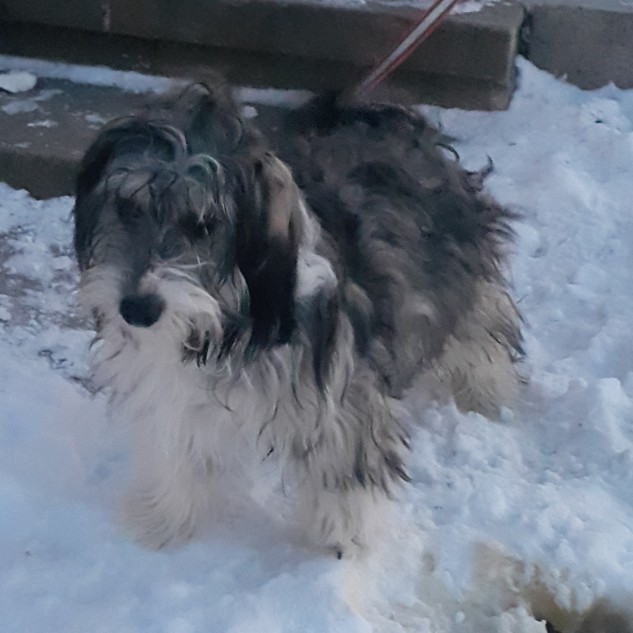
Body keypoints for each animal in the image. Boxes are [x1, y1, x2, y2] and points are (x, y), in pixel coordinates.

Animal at [73, 80, 522, 556]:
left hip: (459, 276)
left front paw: (344, 539)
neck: (238, 317)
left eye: (203, 223)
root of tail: (393, 121)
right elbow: (180, 443)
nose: (136, 310)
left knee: (481, 332)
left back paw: (484, 395)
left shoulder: (342, 391)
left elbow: (344, 463)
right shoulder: (177, 386)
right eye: (127, 206)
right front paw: (163, 519)